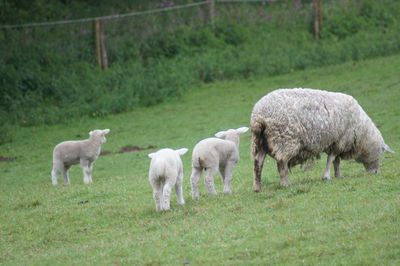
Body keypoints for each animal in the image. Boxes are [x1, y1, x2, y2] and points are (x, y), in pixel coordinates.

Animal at [252, 88, 392, 192]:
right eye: (380, 153)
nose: (376, 172)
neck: (362, 131)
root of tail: (259, 116)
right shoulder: (340, 141)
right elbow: (331, 159)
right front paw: (327, 176)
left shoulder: (335, 142)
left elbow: (336, 161)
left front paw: (337, 175)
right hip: (285, 141)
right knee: (281, 163)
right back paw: (285, 184)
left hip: (260, 143)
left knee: (258, 164)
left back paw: (257, 188)